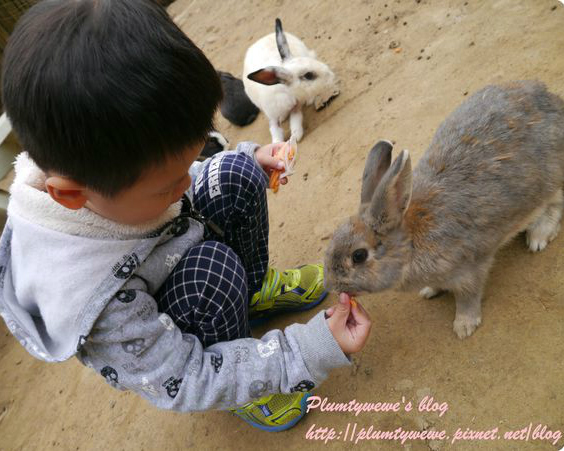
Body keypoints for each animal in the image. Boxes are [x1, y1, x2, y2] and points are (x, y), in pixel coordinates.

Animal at [324, 81, 564, 340]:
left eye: (358, 255)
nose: (330, 285)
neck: (411, 242)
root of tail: (550, 99)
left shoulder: (469, 270)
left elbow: (468, 298)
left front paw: (464, 327)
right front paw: (430, 291)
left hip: (549, 182)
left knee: (554, 204)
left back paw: (538, 238)